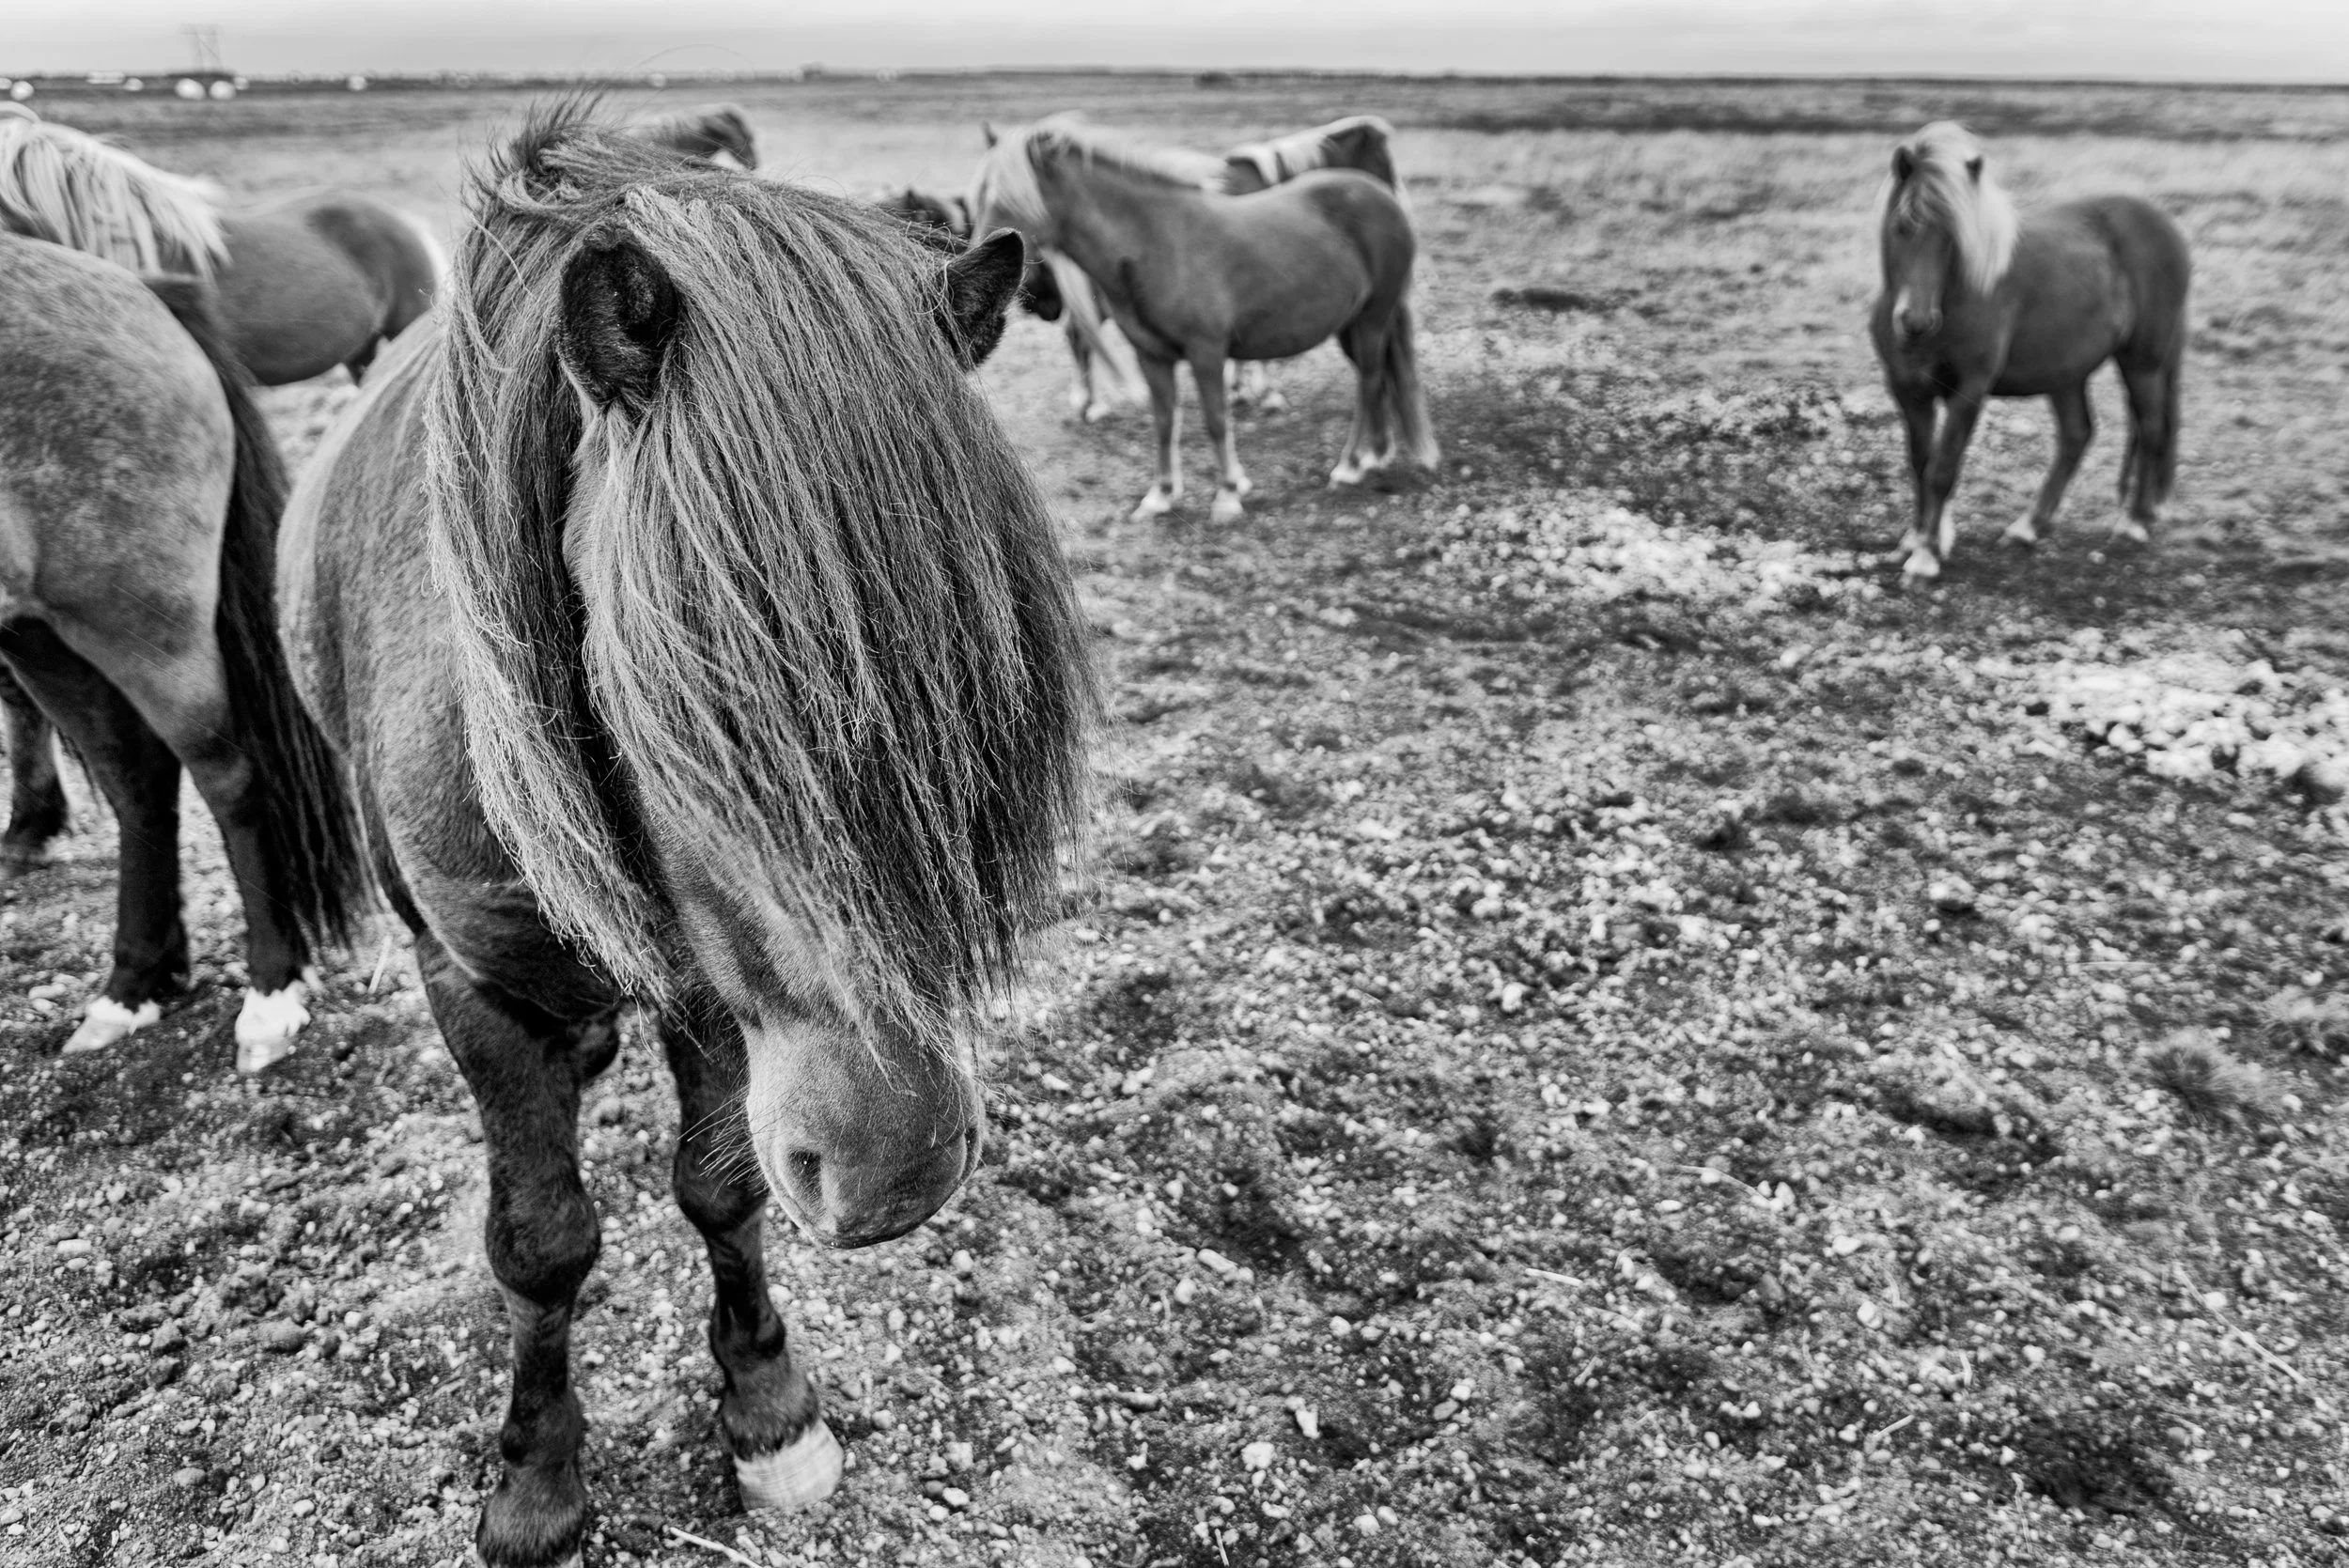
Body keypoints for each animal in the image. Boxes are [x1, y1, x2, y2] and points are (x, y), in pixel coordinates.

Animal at [0, 237, 364, 1067]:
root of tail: (141, 292)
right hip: (42, 633)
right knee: (135, 779)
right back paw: (133, 983)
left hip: (142, 621)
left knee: (226, 775)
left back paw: (269, 990)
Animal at [971, 116, 1435, 524]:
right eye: (980, 196)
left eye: (1013, 199)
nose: (992, 266)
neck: (1156, 242)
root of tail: (1380, 196)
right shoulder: (1151, 356)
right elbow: (1164, 422)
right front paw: (1160, 496)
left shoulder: (1207, 352)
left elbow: (1215, 421)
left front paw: (1228, 495)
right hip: (1352, 325)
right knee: (1377, 379)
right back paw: (1374, 455)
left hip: (1373, 318)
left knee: (1369, 381)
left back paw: (1349, 465)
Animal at [1869, 121, 2190, 581]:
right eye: (1902, 225)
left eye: (1953, 236)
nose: (1916, 321)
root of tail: (2164, 226)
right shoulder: (1907, 389)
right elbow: (1920, 464)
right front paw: (1916, 539)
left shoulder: (1969, 390)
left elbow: (1943, 470)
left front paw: (1927, 556)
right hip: (2066, 373)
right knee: (2077, 435)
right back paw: (2029, 526)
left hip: (2143, 363)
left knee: (2150, 429)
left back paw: (2134, 522)